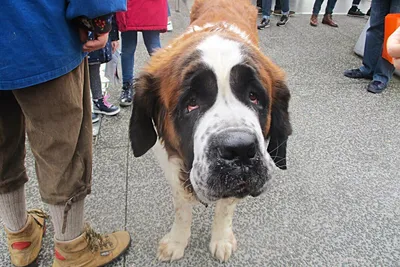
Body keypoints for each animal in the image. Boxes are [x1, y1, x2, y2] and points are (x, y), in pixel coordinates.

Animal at [130, 0, 292, 264]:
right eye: (191, 103)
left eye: (254, 96)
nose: (240, 149)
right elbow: (182, 209)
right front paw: (177, 241)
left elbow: (225, 208)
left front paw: (221, 239)